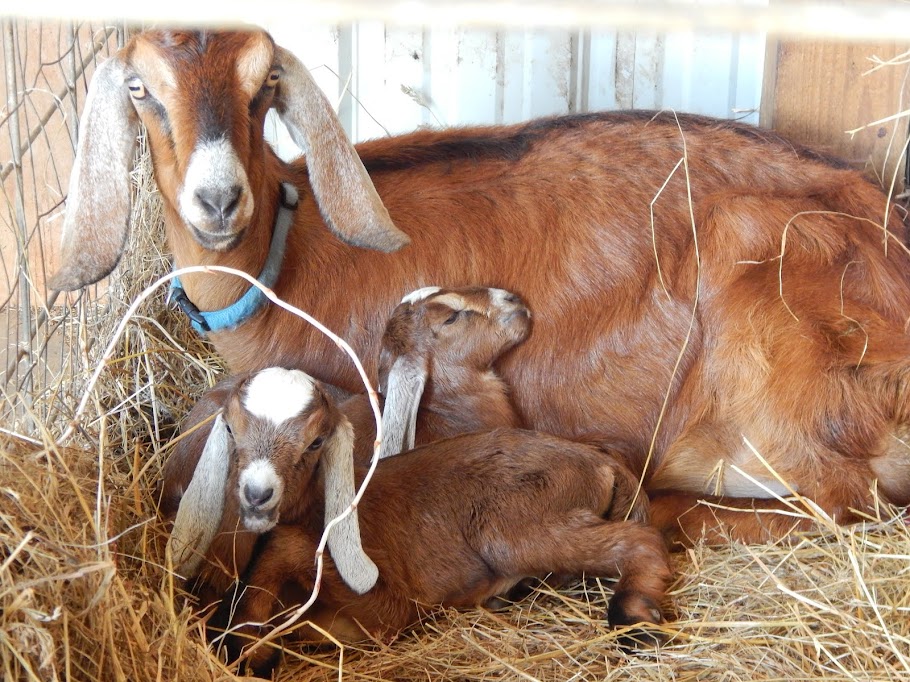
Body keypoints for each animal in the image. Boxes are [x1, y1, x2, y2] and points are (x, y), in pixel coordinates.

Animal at [175, 367, 673, 675]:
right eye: (230, 428)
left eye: (316, 441)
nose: (258, 494)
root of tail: (598, 459)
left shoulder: (388, 609)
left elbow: (285, 547)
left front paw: (249, 648)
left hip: (511, 525)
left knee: (642, 541)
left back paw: (634, 615)